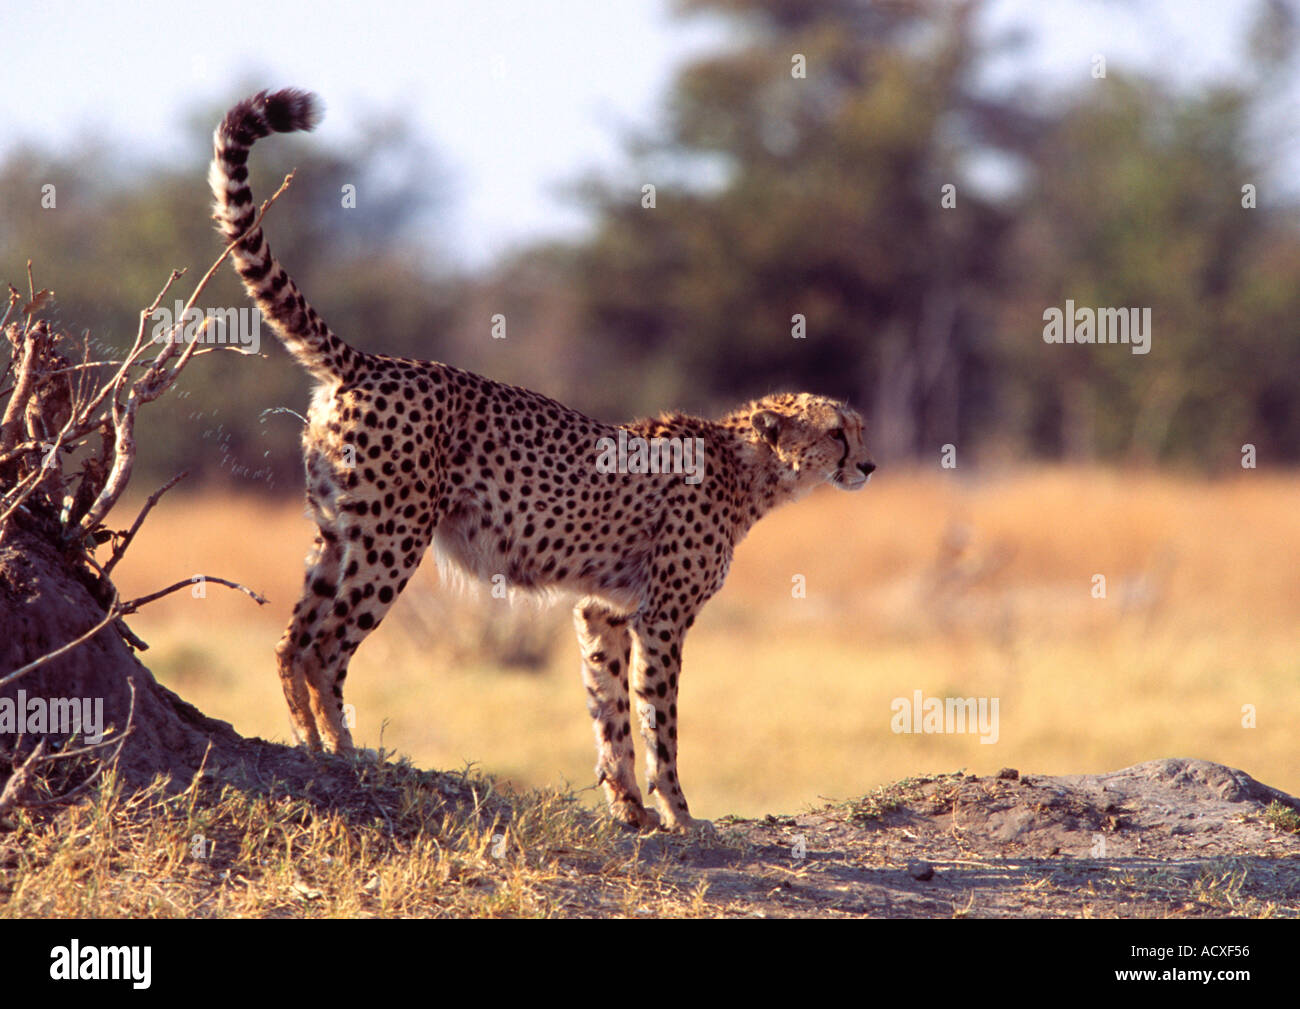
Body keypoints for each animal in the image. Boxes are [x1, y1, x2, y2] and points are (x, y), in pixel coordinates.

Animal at [209, 88, 876, 832]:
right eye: (840, 432)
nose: (868, 466)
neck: (749, 470)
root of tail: (375, 361)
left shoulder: (604, 608)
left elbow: (609, 713)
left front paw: (630, 808)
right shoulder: (662, 615)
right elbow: (659, 720)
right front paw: (678, 811)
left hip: (336, 529)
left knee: (290, 638)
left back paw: (306, 741)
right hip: (392, 537)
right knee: (327, 646)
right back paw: (344, 751)